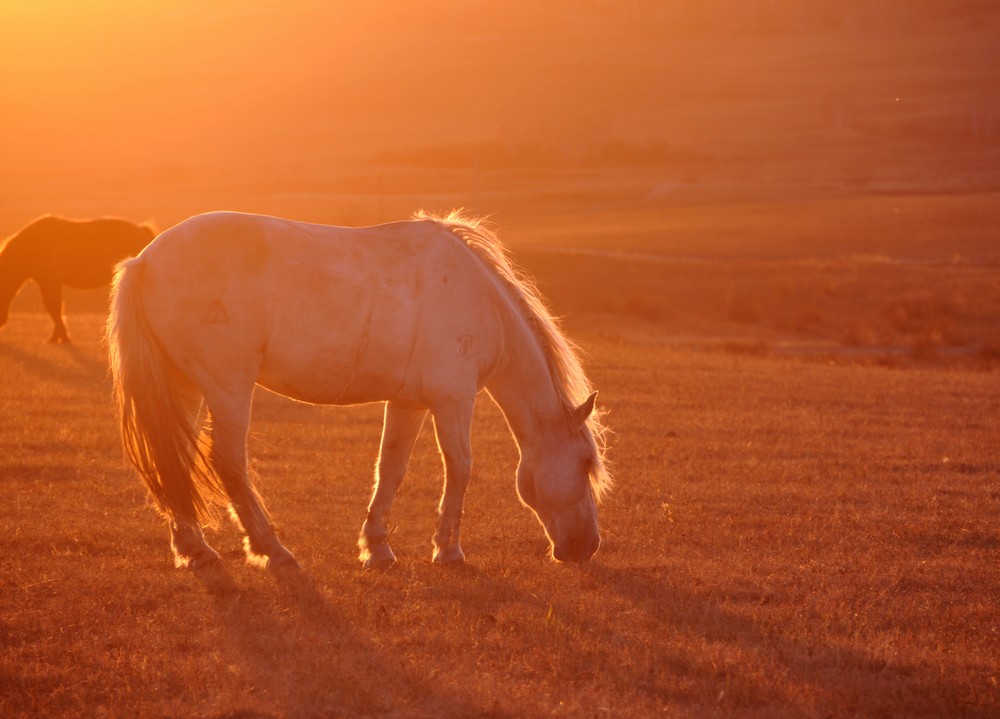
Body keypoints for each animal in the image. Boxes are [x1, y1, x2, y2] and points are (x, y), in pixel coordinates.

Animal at [0, 217, 154, 344]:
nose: (1, 323)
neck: (32, 246)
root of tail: (142, 230)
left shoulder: (52, 282)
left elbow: (54, 308)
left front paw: (61, 337)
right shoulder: (46, 283)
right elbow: (54, 309)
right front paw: (57, 336)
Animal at [107, 211, 608, 572]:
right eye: (586, 462)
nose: (586, 547)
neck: (478, 301)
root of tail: (145, 260)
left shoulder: (409, 403)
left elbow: (391, 469)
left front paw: (377, 548)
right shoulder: (454, 400)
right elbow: (460, 468)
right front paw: (448, 551)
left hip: (184, 387)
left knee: (175, 460)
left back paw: (195, 550)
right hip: (227, 386)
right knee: (227, 461)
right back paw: (272, 550)